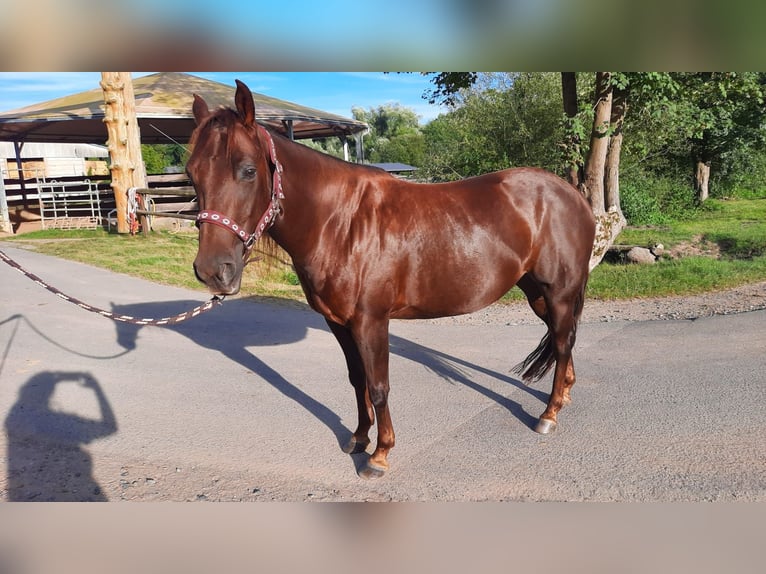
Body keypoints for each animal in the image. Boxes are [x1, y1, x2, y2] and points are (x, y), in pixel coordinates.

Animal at [189, 79, 596, 480]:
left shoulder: (371, 320)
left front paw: (380, 455)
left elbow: (378, 385)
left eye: (248, 170)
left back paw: (549, 414)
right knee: (563, 338)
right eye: (192, 173)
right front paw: (358, 438)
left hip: (558, 292)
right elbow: (357, 380)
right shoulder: (338, 322)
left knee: (563, 343)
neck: (340, 223)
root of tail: (573, 196)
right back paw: (564, 397)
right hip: (537, 292)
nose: (213, 270)